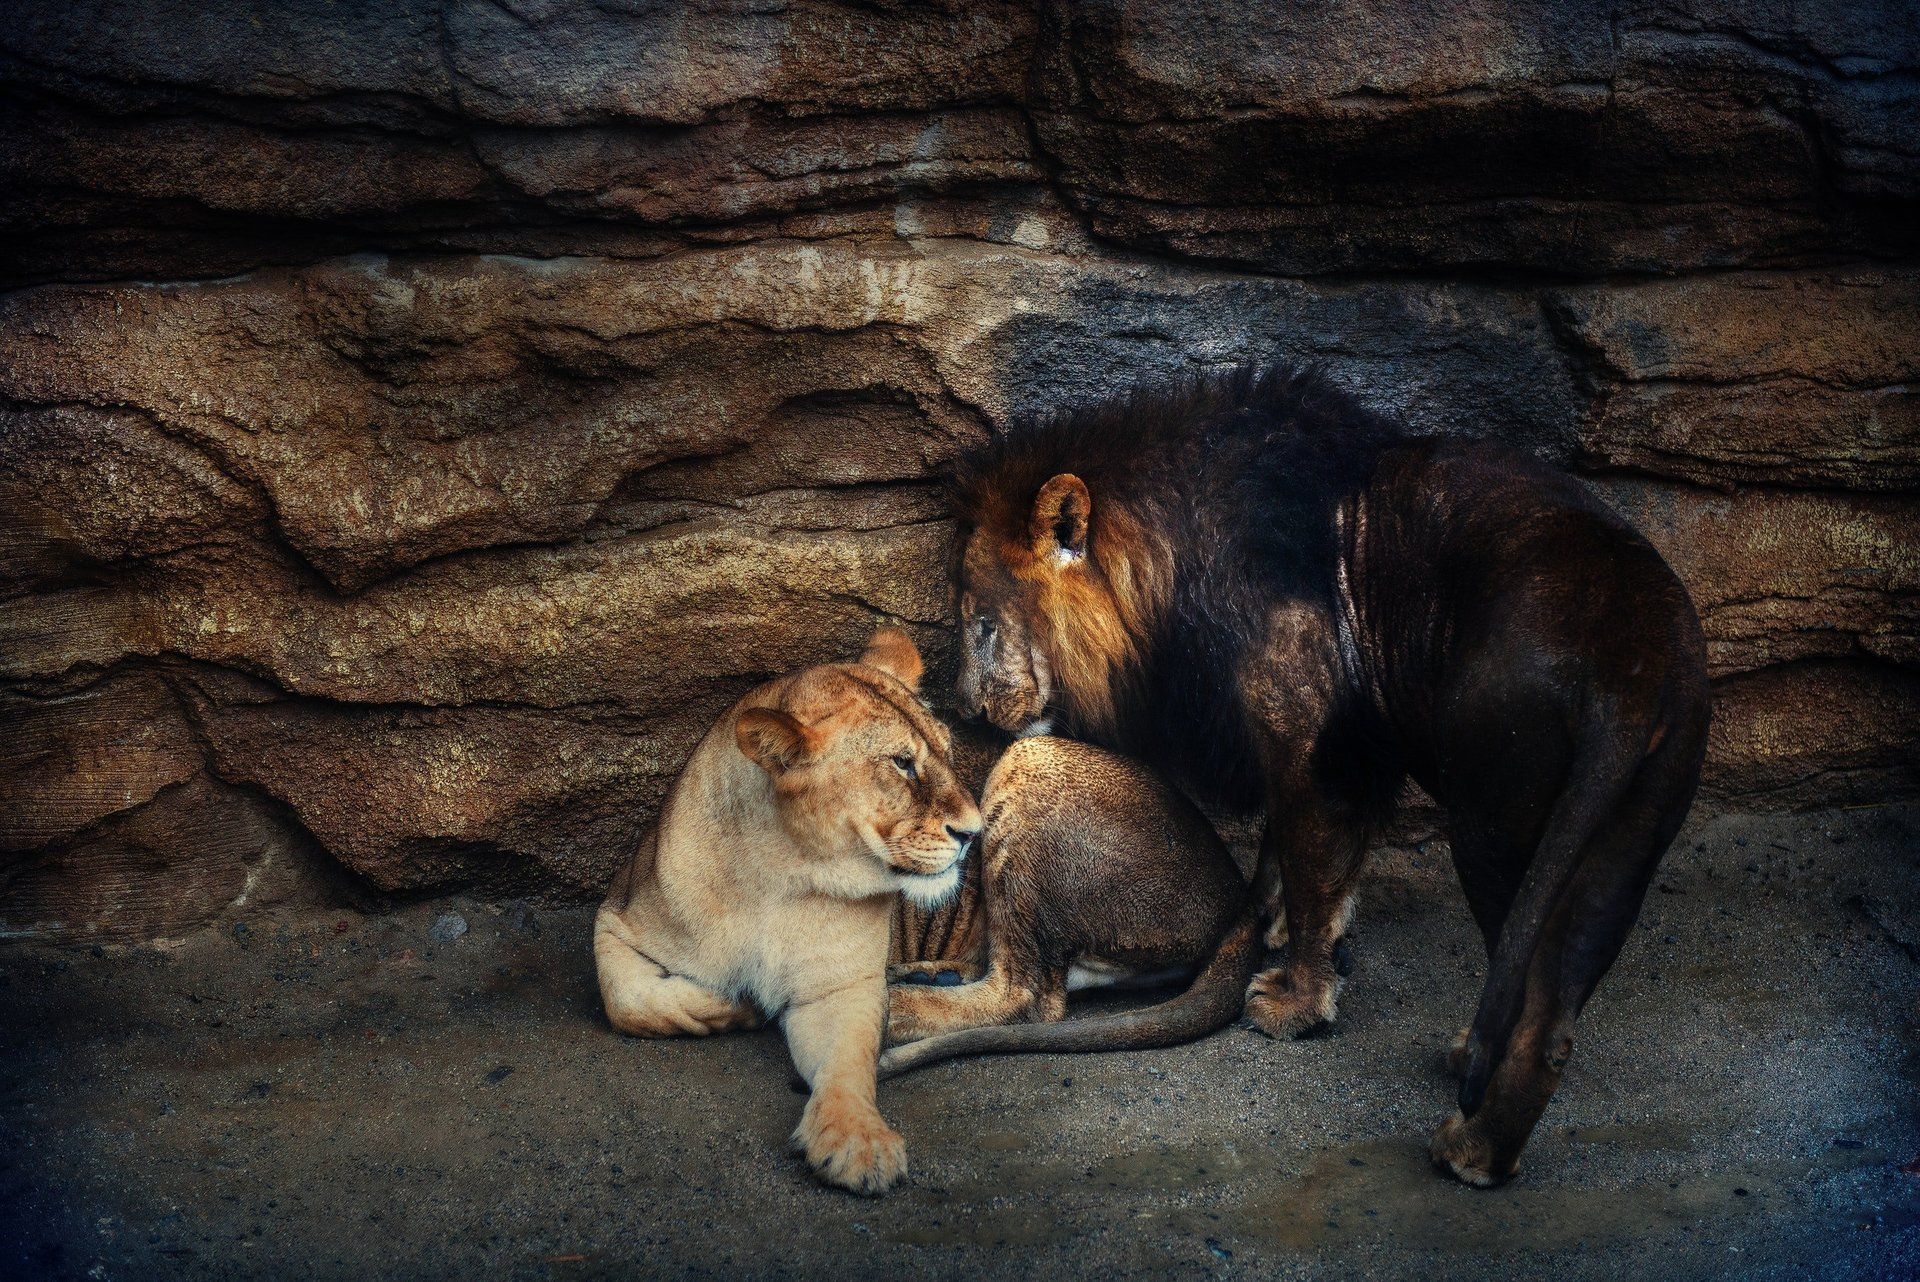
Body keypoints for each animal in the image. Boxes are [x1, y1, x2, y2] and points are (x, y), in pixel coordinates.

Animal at [593, 627, 981, 1195]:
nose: (974, 832)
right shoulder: (616, 915)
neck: (776, 875)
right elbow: (626, 999)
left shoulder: (841, 987)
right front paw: (740, 1005)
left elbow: (848, 1065)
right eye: (902, 763)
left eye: (947, 751)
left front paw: (858, 1141)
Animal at [947, 364, 1710, 1186]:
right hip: (1625, 840)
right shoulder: (1322, 749)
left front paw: (1295, 1003)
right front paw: (1273, 928)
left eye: (982, 623)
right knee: (1560, 1015)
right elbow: (1289, 859)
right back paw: (1478, 1106)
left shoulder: (1310, 738)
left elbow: (1316, 877)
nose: (964, 708)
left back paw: (1470, 1148)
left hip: (1495, 825)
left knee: (1535, 1004)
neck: (1171, 560)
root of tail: (1631, 667)